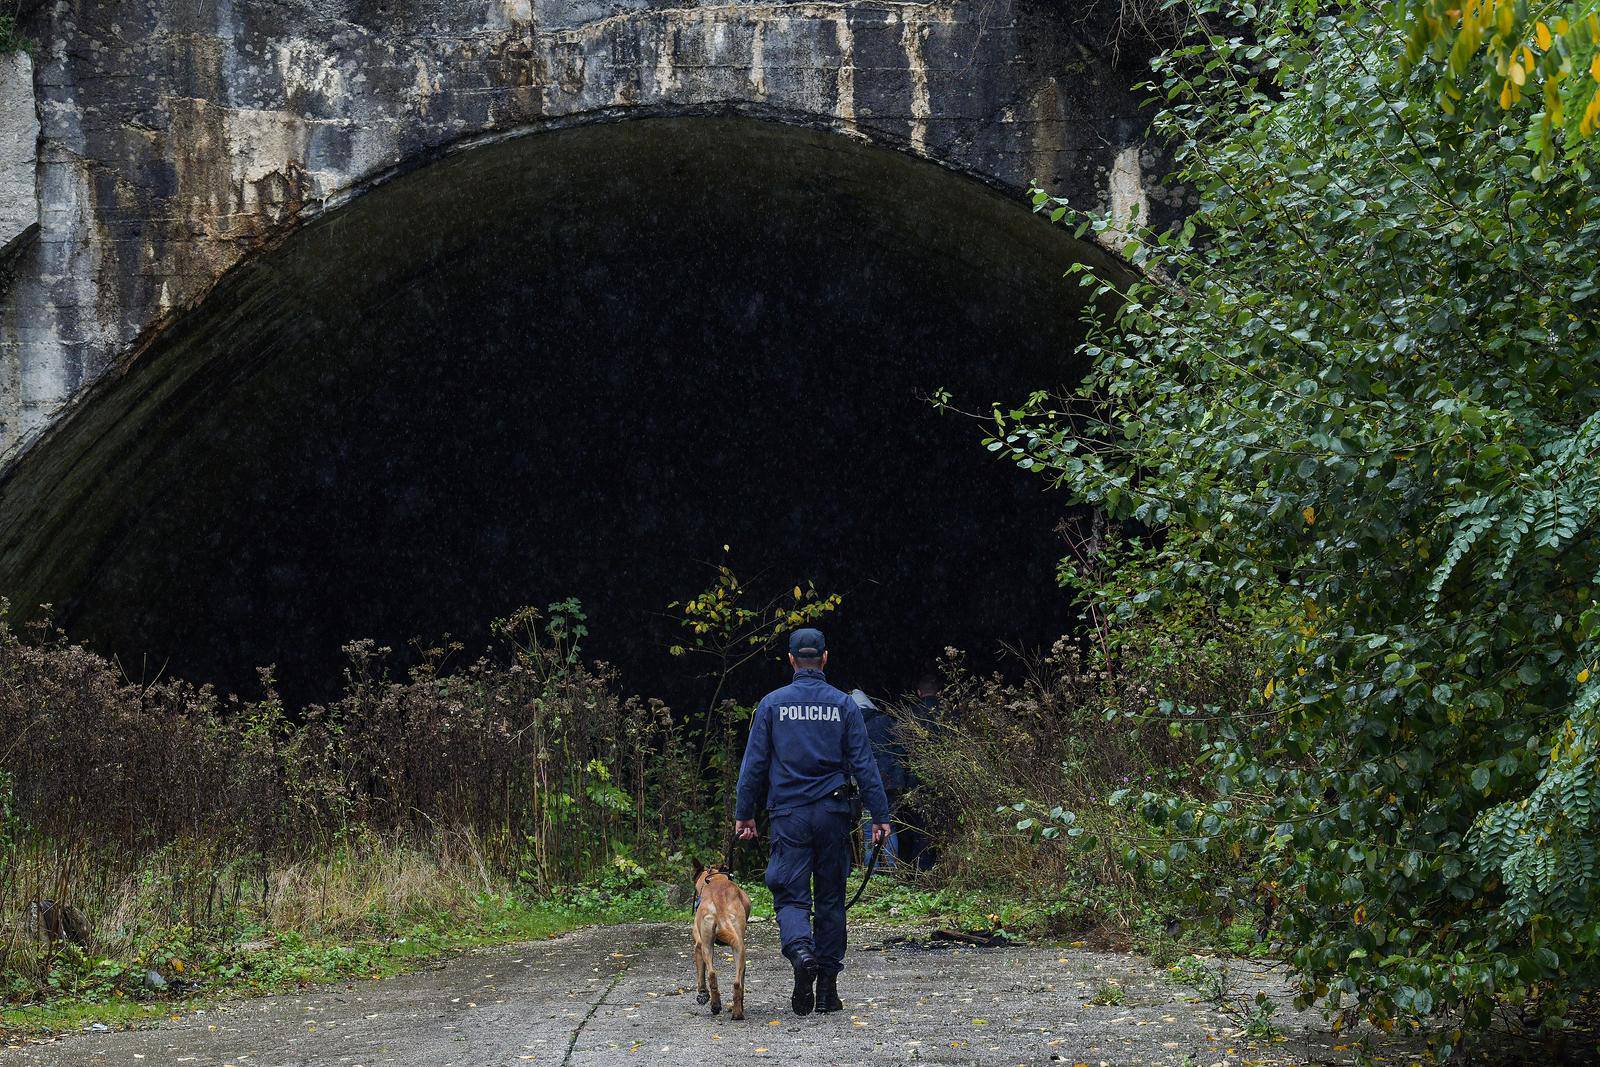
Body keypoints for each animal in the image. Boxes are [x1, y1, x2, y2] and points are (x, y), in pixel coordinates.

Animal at [691, 857, 752, 1017]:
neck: (714, 879)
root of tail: (719, 898)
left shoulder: (698, 944)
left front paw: (702, 994)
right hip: (739, 948)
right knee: (738, 982)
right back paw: (737, 1011)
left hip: (707, 946)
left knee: (712, 974)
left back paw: (716, 1004)